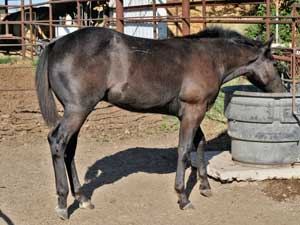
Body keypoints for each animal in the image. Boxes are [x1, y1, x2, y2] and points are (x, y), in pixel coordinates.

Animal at [35, 26, 284, 220]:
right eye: (274, 64)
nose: (281, 91)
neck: (211, 59)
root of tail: (55, 44)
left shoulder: (191, 113)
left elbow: (200, 144)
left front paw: (204, 186)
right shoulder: (193, 112)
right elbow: (184, 151)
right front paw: (183, 197)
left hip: (78, 112)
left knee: (69, 150)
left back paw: (82, 198)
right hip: (77, 110)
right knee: (57, 142)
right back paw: (62, 204)